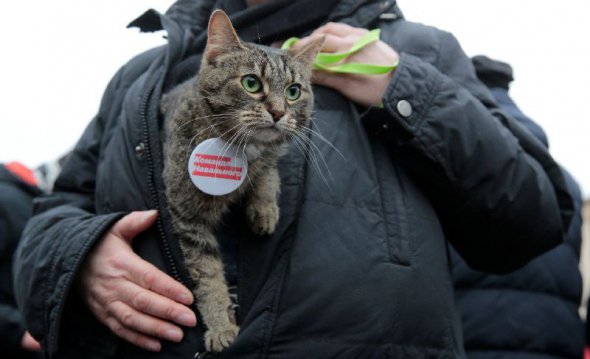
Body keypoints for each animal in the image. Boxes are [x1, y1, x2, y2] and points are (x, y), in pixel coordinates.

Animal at [161, 9, 324, 352]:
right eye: (251, 83)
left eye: (293, 91)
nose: (278, 112)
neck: (242, 150)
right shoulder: (188, 218)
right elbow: (208, 275)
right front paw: (221, 326)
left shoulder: (268, 155)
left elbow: (268, 170)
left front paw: (263, 209)